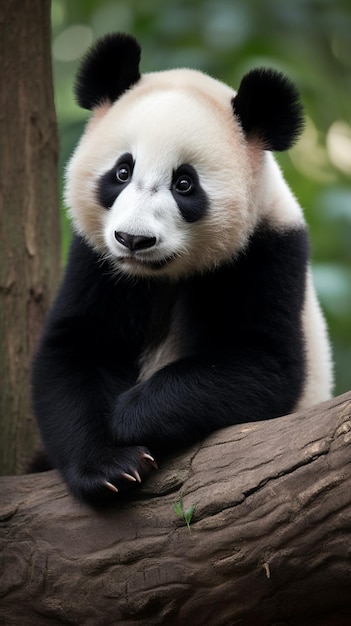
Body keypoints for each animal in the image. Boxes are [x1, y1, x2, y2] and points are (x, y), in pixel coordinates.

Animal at [31, 31, 334, 504]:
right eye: (122, 171)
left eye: (184, 183)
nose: (134, 240)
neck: (160, 275)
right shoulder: (96, 261)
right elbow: (74, 350)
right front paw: (110, 466)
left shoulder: (267, 252)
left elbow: (264, 365)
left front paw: (128, 416)